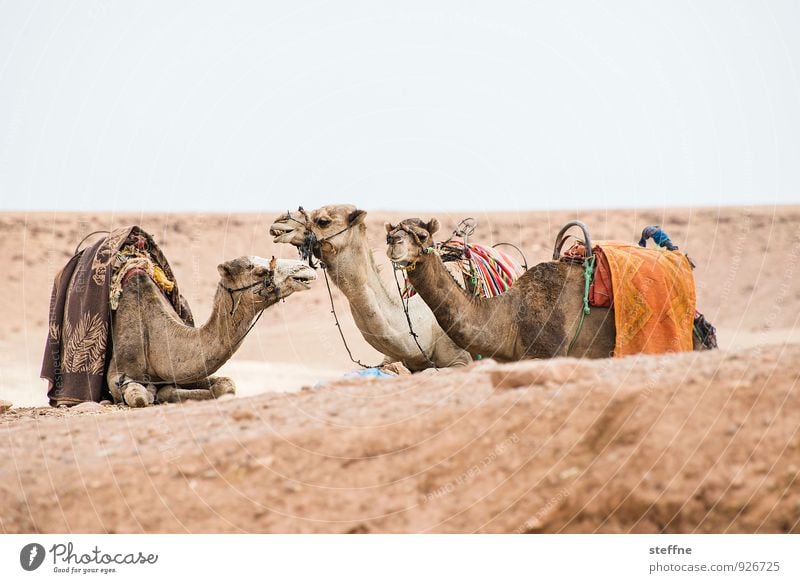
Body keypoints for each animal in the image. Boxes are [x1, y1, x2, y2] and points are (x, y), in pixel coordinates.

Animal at [105, 256, 316, 406]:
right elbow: (138, 398)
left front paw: (163, 392)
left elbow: (227, 385)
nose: (305, 268)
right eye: (260, 272)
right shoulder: (117, 373)